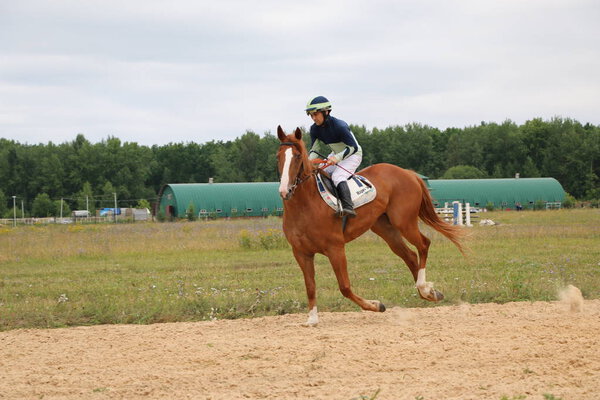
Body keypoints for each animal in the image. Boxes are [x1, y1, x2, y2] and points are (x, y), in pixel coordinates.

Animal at [276, 126, 464, 326]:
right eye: (278, 156)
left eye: (297, 156)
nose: (285, 190)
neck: (305, 205)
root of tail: (407, 172)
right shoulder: (301, 253)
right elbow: (310, 286)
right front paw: (312, 319)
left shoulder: (335, 248)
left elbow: (344, 287)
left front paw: (375, 305)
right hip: (386, 229)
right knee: (410, 256)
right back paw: (427, 292)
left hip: (404, 222)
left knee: (423, 244)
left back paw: (424, 288)